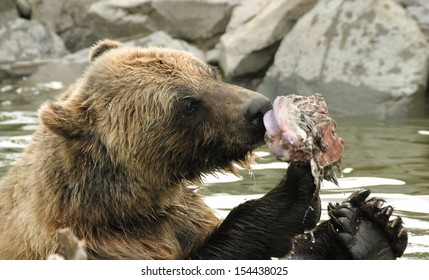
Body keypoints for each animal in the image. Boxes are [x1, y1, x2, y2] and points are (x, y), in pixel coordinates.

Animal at [0, 40, 406, 260]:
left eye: (209, 72)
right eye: (187, 104)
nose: (258, 108)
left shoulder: (180, 217)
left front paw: (369, 223)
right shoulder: (109, 243)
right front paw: (295, 190)